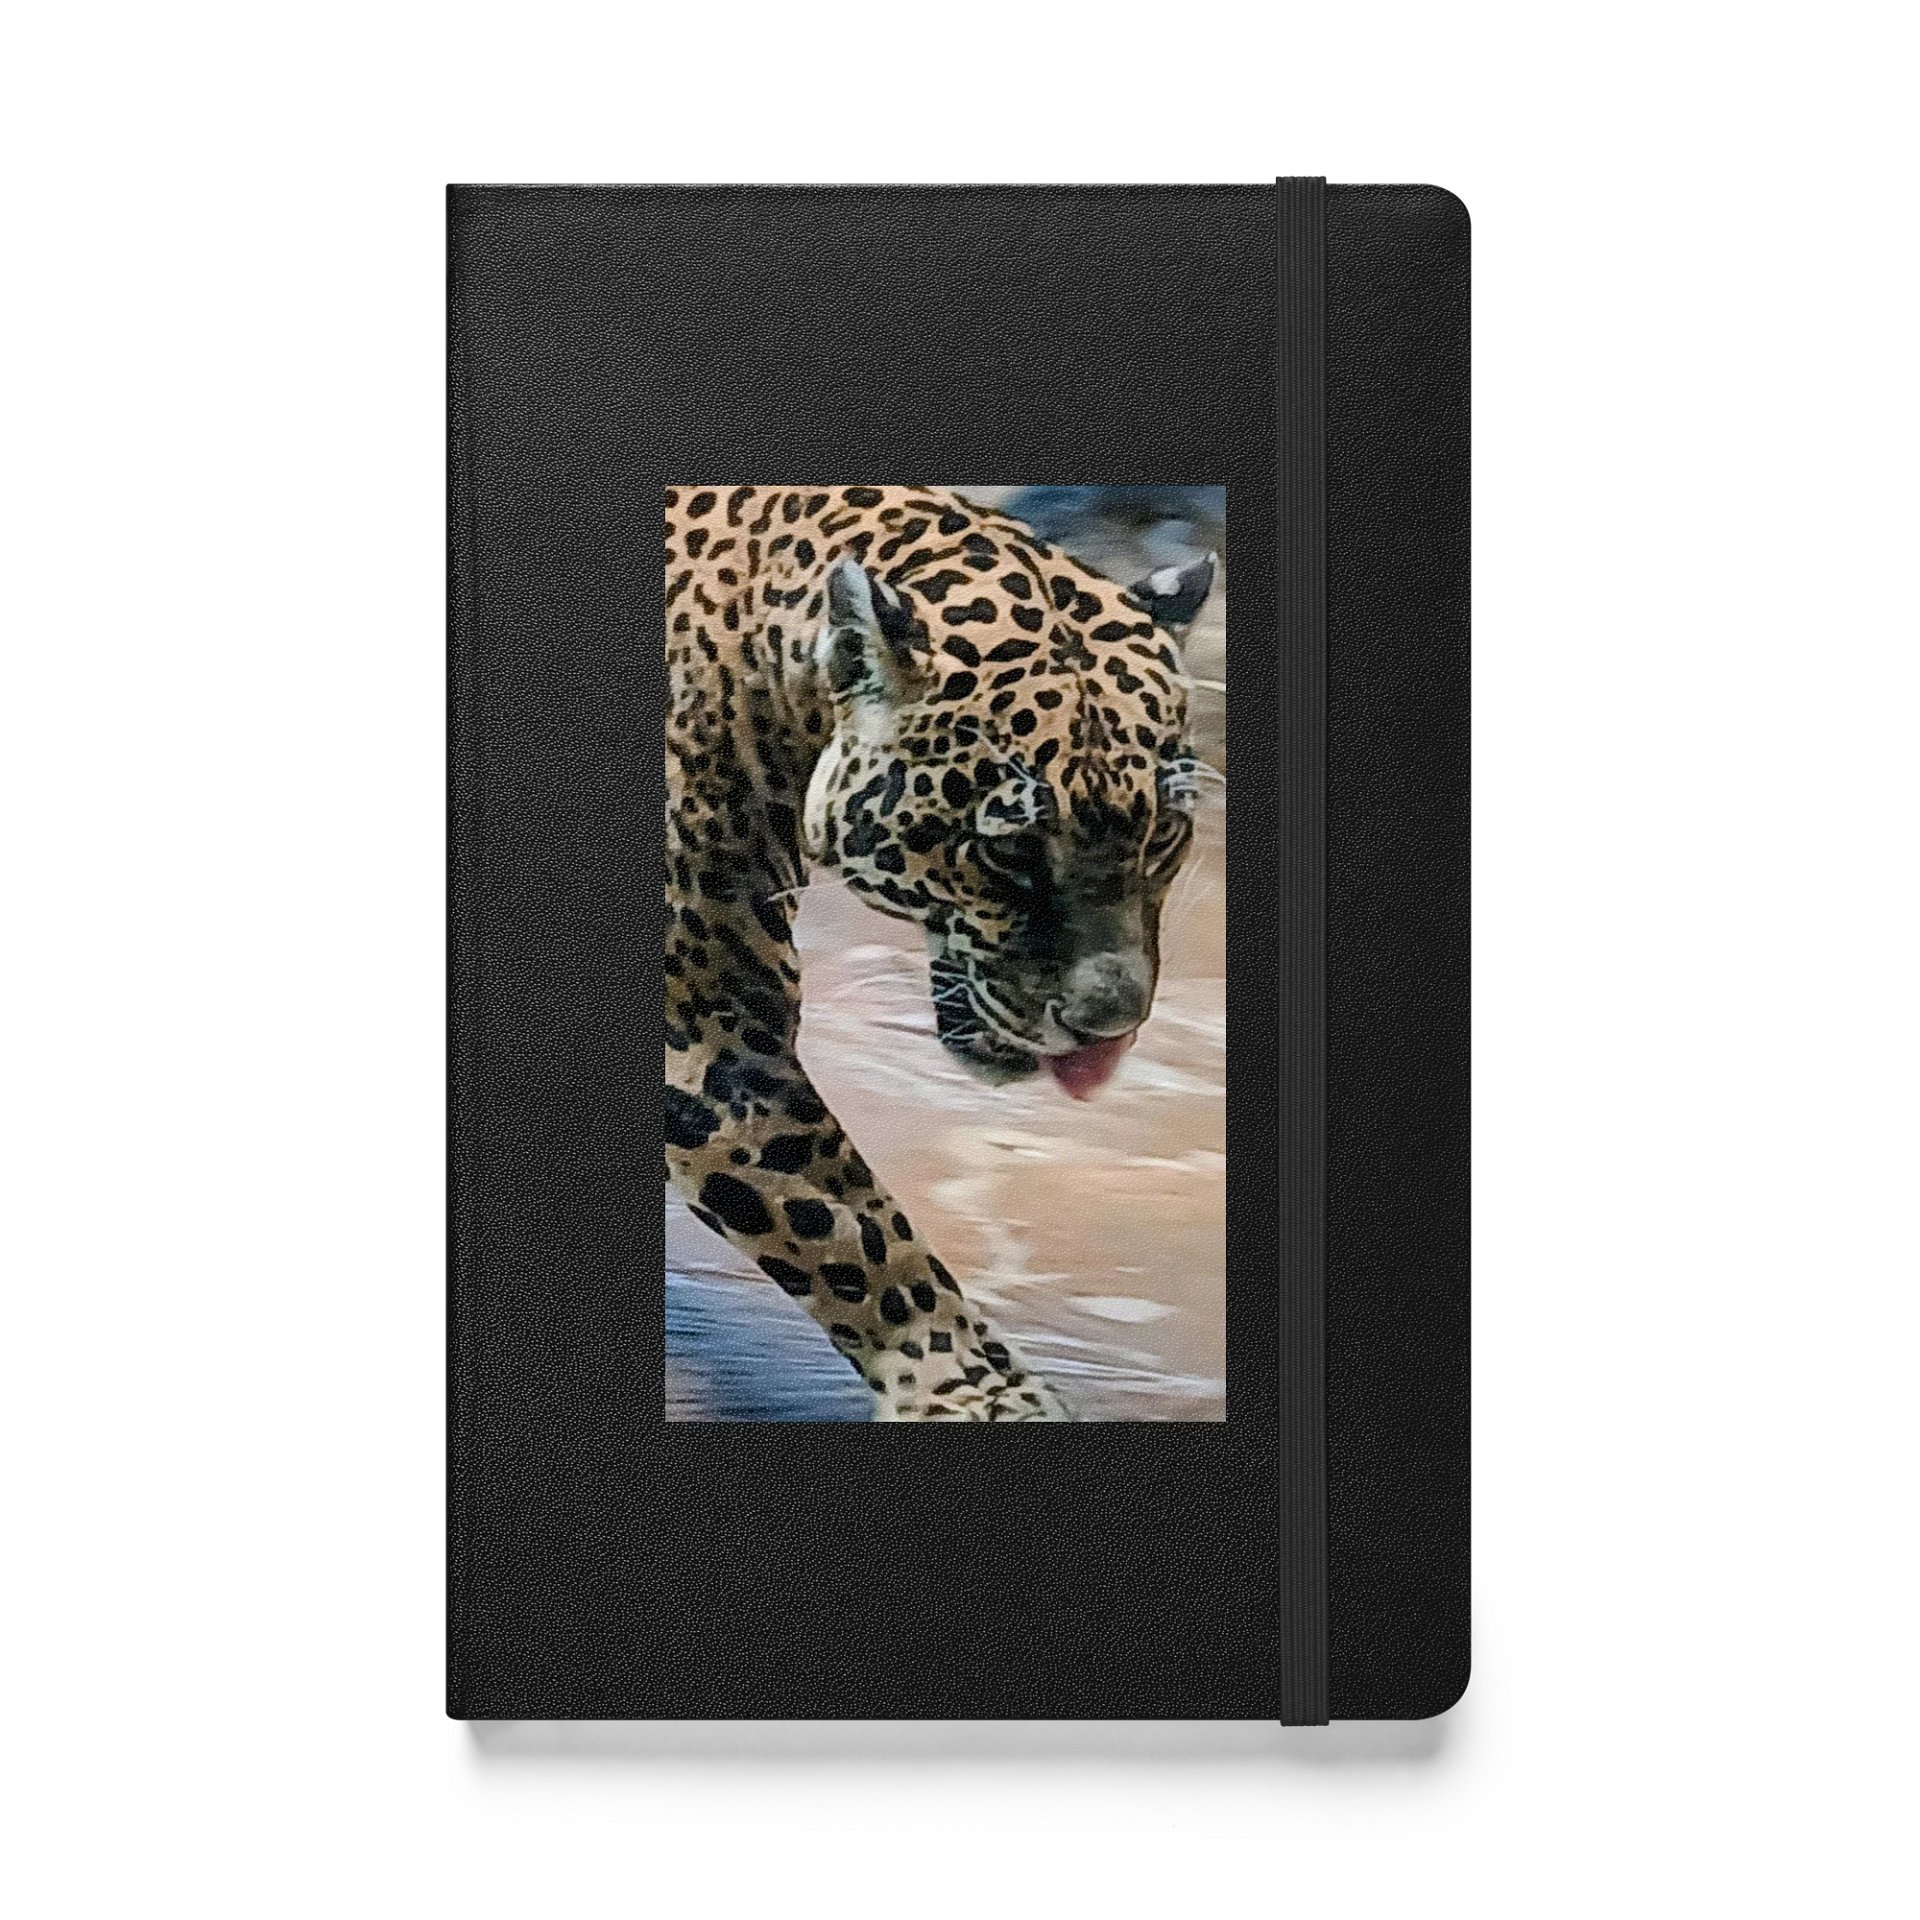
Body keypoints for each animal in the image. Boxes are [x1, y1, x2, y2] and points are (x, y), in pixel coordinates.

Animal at [664, 484, 1214, 1421]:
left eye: (1164, 835)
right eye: (1011, 849)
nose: (1110, 1029)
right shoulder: (711, 1034)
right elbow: (855, 1232)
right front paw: (979, 1394)